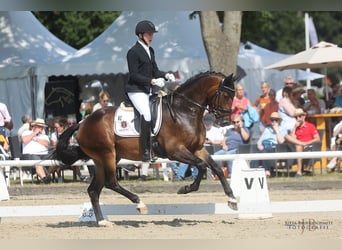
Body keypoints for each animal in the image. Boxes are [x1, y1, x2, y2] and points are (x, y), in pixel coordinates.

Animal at [52, 71, 238, 227]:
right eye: (225, 95)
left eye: (233, 95)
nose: (225, 122)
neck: (184, 111)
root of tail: (83, 122)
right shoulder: (175, 151)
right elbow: (201, 166)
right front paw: (185, 189)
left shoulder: (197, 149)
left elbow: (216, 168)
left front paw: (232, 199)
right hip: (107, 155)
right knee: (111, 182)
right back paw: (139, 204)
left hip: (102, 160)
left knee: (93, 190)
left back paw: (102, 222)